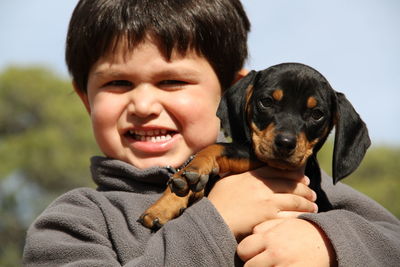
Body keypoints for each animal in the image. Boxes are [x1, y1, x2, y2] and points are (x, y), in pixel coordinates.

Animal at [139, 62, 370, 230]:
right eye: (266, 102)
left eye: (317, 114)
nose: (285, 144)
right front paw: (164, 205)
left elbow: (217, 147)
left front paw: (192, 172)